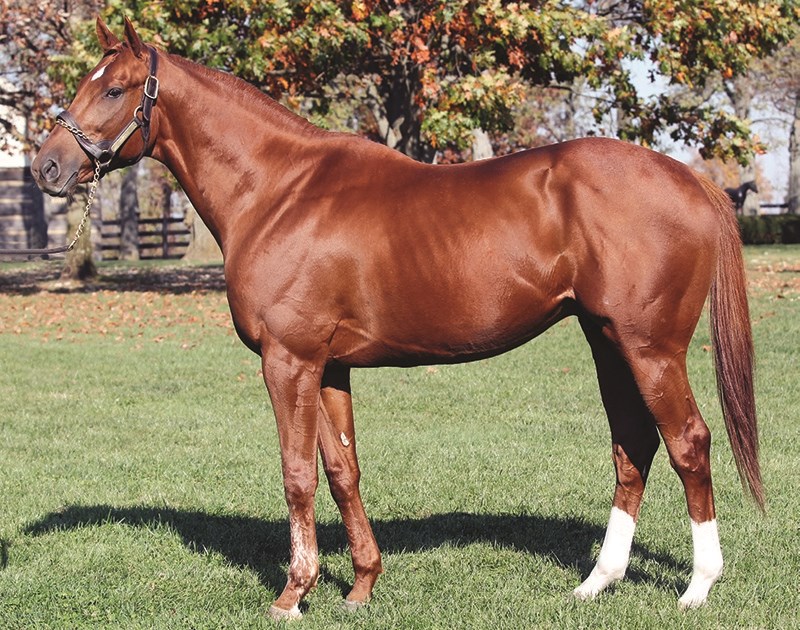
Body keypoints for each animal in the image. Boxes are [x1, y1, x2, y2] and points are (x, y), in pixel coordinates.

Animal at [31, 18, 762, 620]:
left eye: (116, 89)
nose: (46, 166)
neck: (278, 191)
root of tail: (692, 180)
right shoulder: (329, 368)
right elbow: (342, 471)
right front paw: (359, 586)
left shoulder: (288, 362)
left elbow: (297, 475)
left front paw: (293, 594)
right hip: (607, 340)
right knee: (632, 446)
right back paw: (596, 583)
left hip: (651, 348)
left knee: (688, 443)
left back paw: (698, 587)